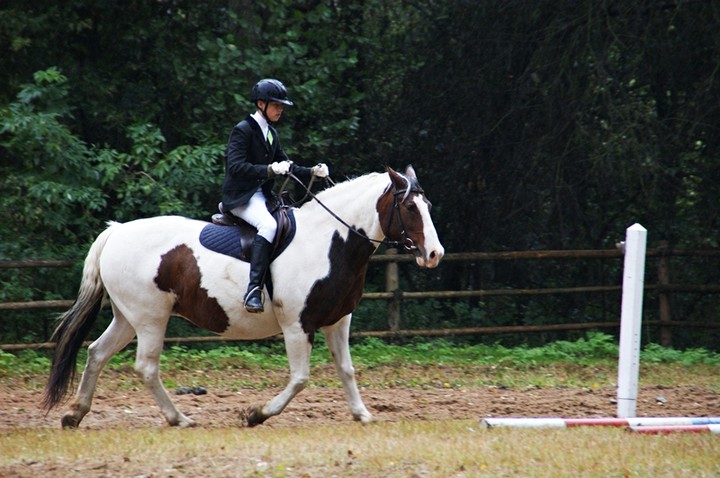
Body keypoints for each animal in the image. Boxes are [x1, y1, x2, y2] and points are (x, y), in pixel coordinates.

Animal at [42, 165, 444, 430]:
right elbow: (300, 378)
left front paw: (362, 414)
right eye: (410, 207)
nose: (434, 254)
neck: (329, 242)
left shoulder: (337, 321)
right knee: (146, 367)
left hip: (127, 318)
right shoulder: (297, 326)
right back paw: (179, 418)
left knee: (97, 353)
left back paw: (74, 414)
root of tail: (117, 231)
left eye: (428, 206)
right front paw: (255, 414)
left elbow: (346, 369)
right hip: (150, 319)